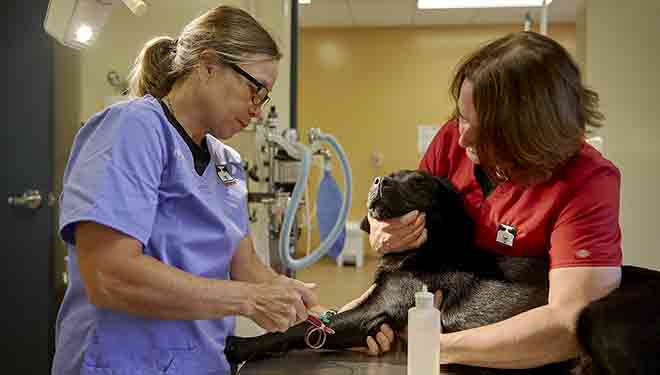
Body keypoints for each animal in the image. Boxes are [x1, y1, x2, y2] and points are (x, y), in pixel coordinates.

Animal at [227, 171, 660, 375]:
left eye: (419, 181)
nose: (379, 180)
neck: (428, 247)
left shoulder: (375, 310)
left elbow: (298, 328)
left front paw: (241, 346)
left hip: (596, 316)